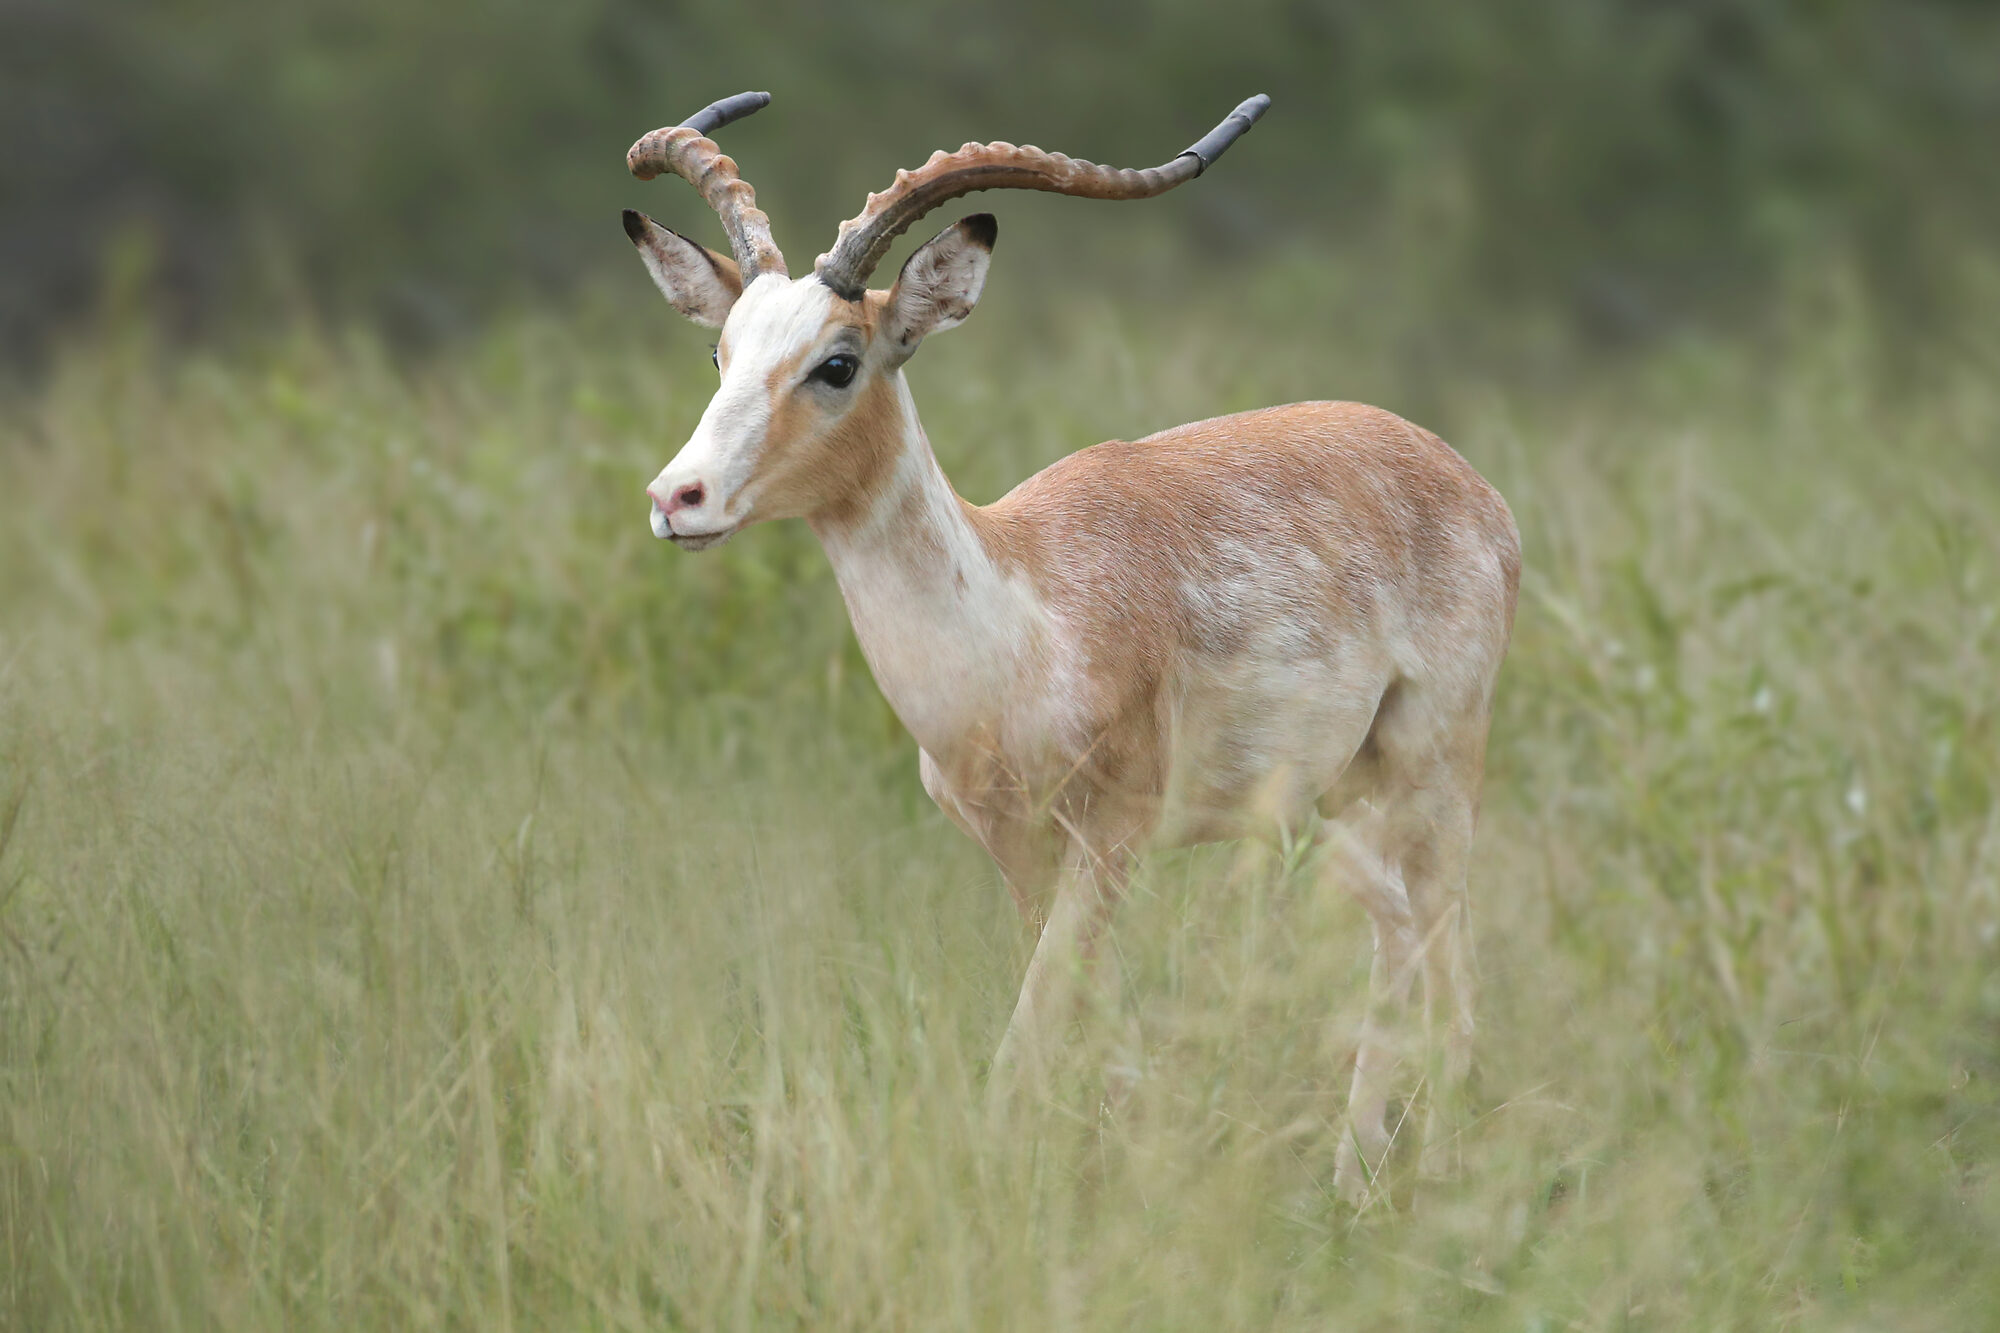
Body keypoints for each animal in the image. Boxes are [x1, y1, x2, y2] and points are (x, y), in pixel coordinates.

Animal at [623, 91, 1519, 1201]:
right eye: (721, 353)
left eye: (837, 361)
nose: (677, 497)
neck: (1022, 624)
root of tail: (1466, 479)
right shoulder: (1018, 852)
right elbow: (1083, 1032)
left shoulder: (1113, 837)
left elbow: (1027, 1042)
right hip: (1324, 804)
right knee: (1397, 931)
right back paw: (1356, 1174)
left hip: (1433, 769)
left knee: (1451, 958)